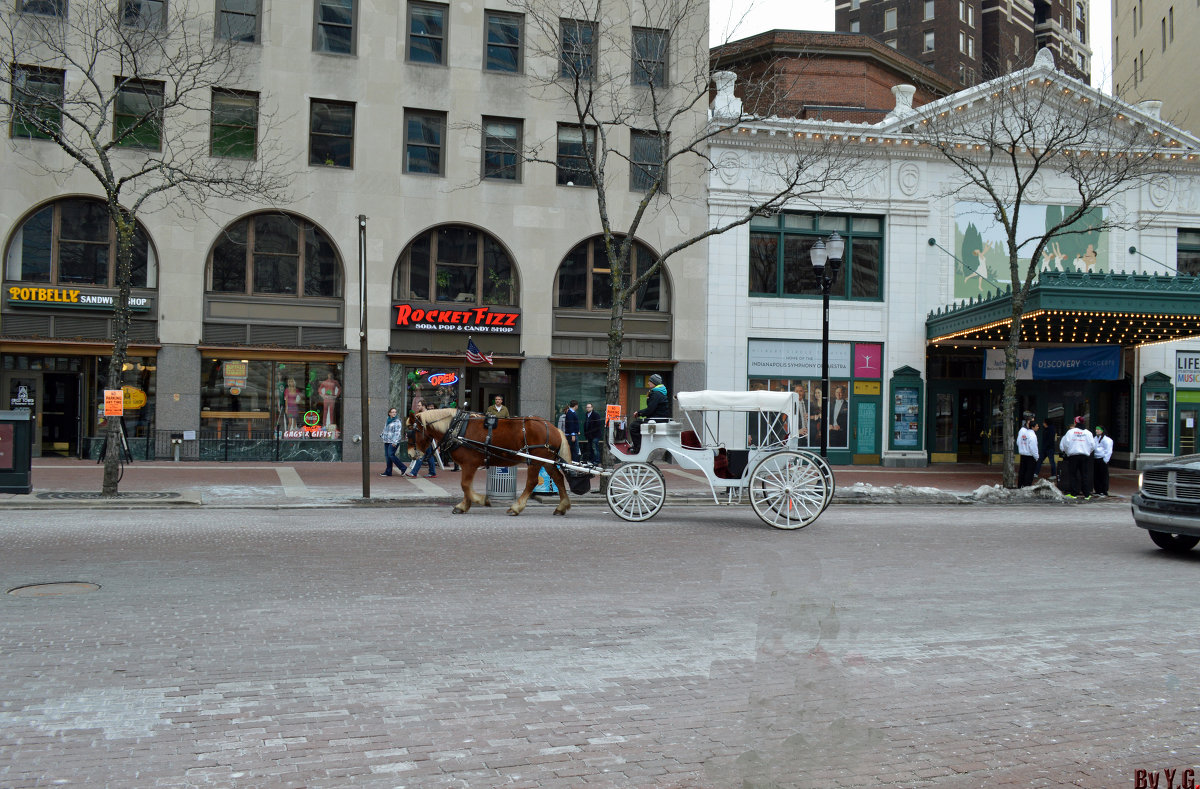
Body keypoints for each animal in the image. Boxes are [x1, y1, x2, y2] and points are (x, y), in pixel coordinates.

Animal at [408, 407, 571, 513]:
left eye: (411, 431)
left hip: (536, 460)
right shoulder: (468, 465)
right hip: (547, 460)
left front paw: (479, 500)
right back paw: (562, 506)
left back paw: (516, 507)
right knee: (558, 478)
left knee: (532, 482)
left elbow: (465, 485)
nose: (410, 454)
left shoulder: (469, 463)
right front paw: (465, 505)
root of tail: (554, 428)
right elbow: (467, 486)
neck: (457, 428)